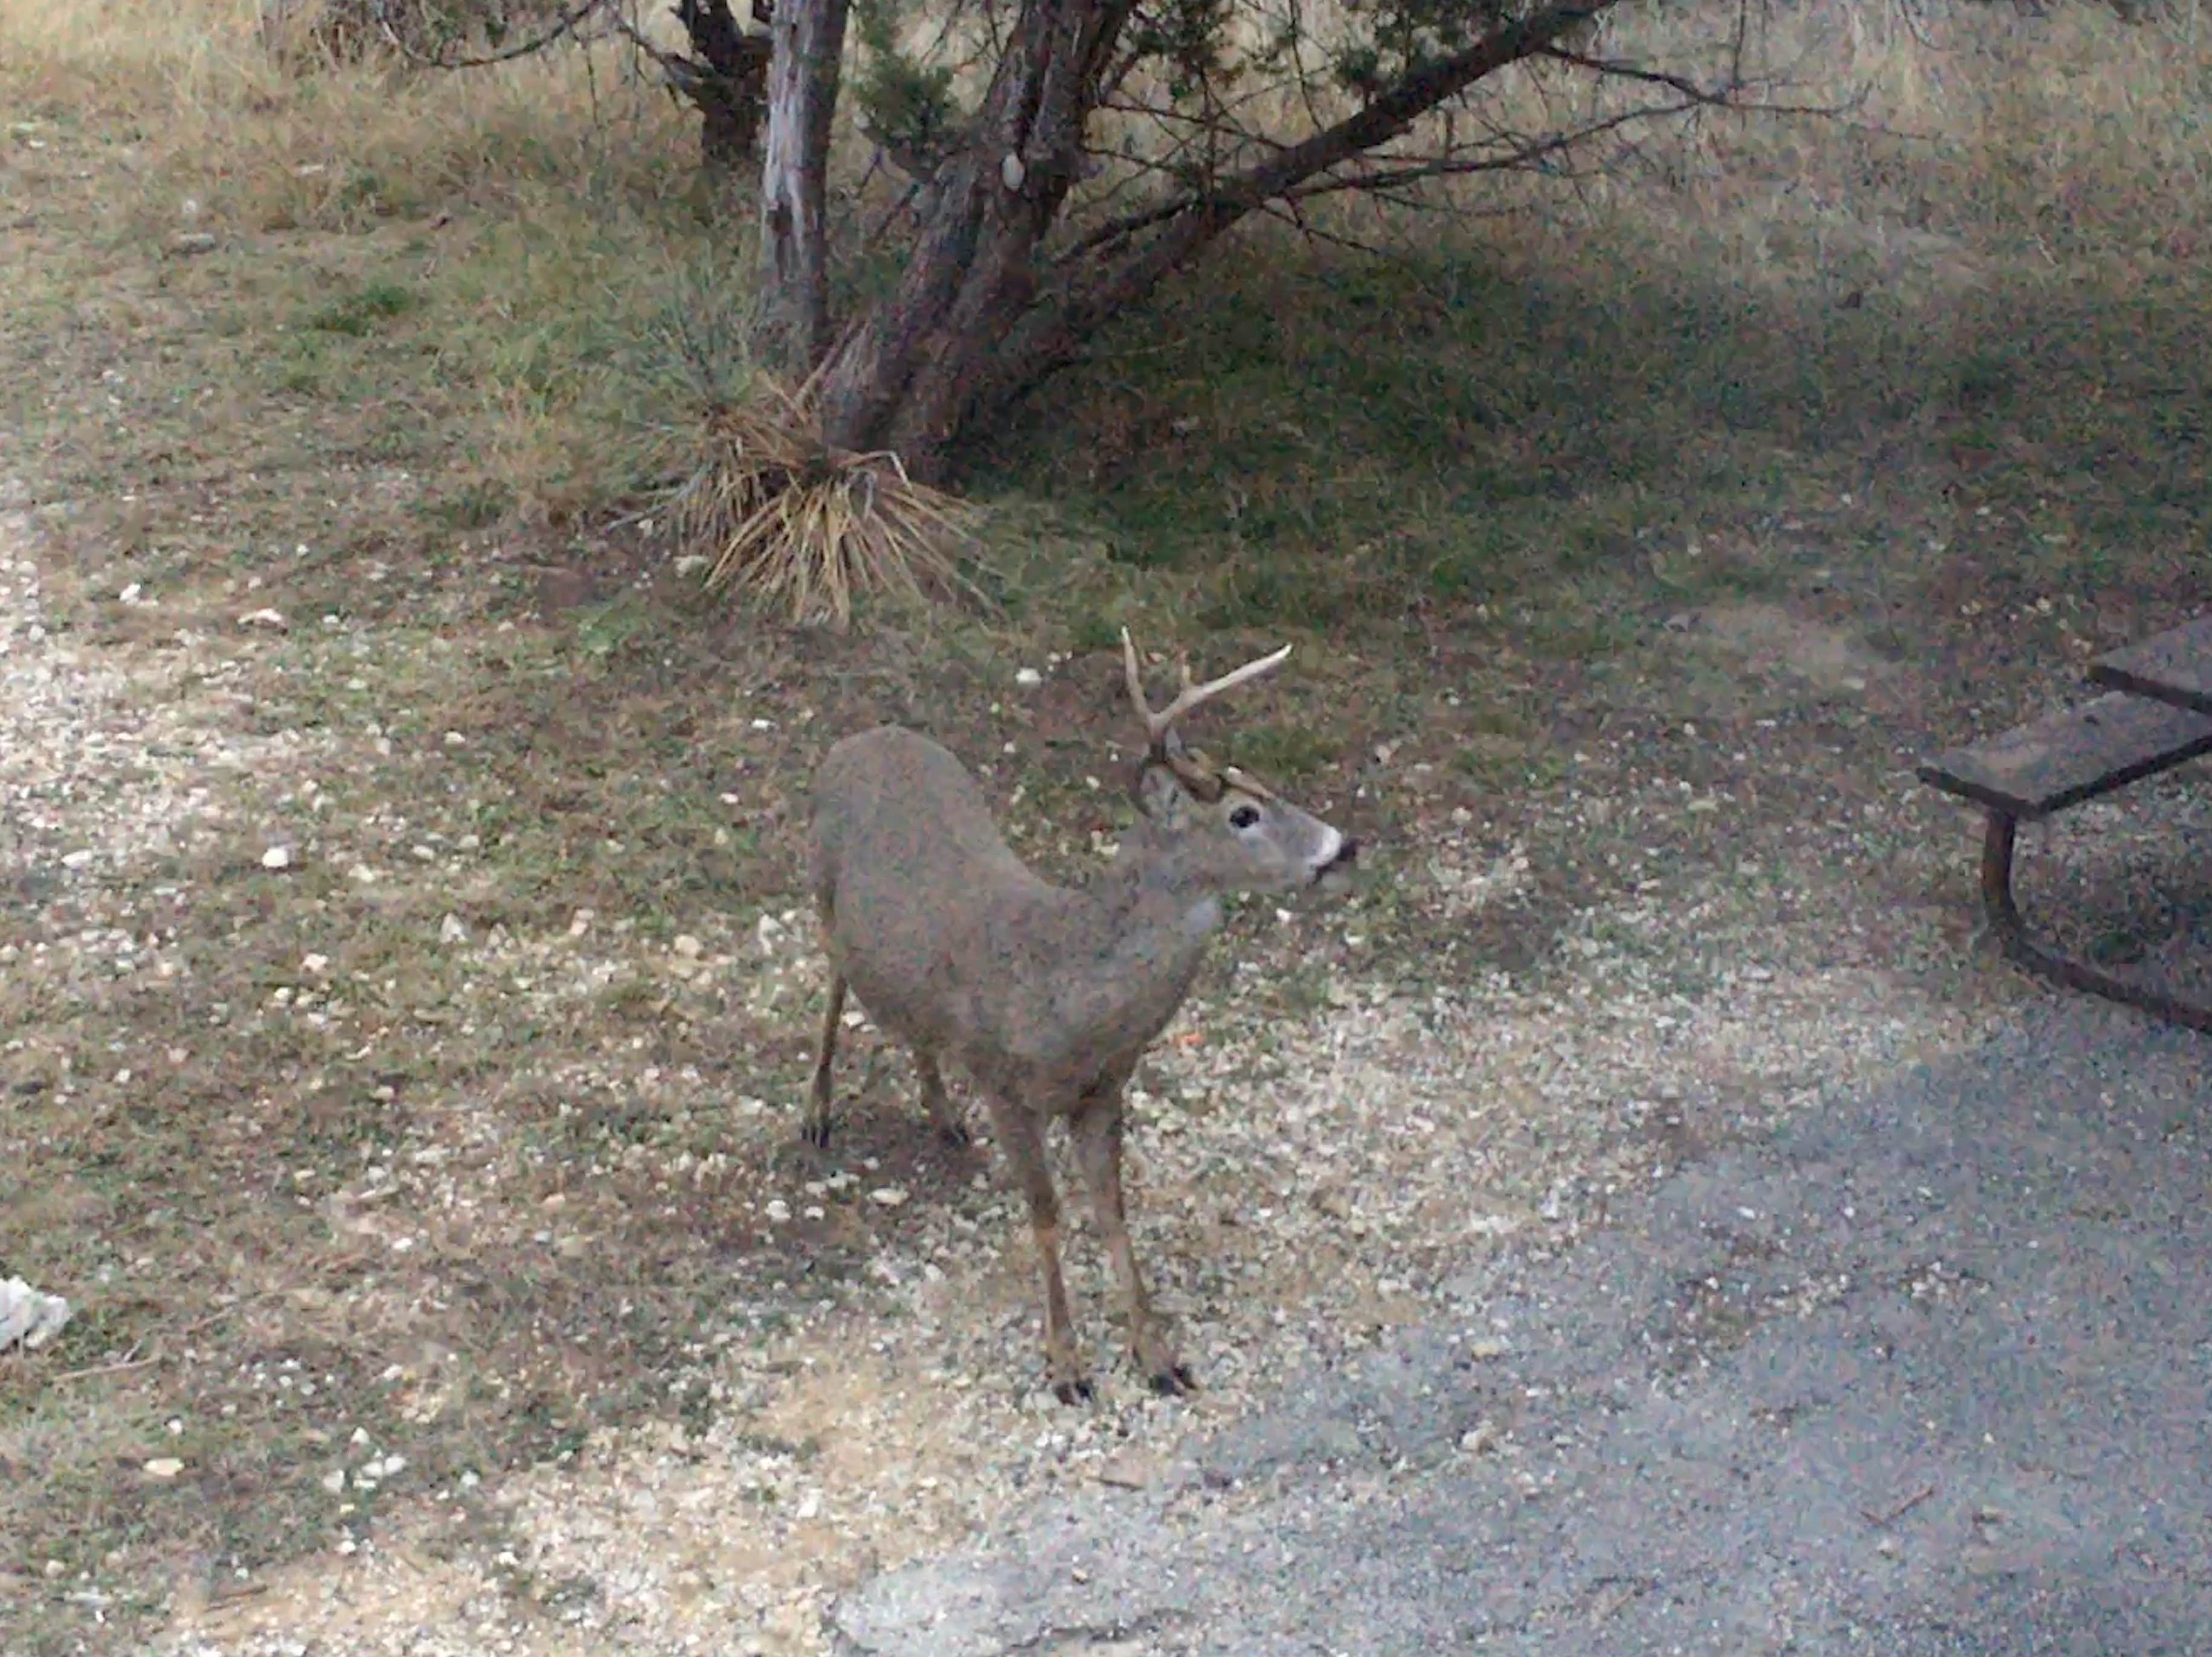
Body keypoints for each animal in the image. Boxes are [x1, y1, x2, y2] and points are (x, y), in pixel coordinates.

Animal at [805, 628, 1354, 1407]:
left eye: (1265, 787)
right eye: (1241, 815)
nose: (1343, 847)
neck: (1070, 997)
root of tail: (862, 736)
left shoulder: (1103, 1089)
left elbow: (1111, 1210)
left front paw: (1158, 1354)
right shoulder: (1005, 1086)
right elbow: (1045, 1214)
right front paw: (1066, 1364)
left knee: (910, 1021)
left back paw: (942, 1115)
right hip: (822, 891)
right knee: (831, 988)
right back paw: (817, 1111)